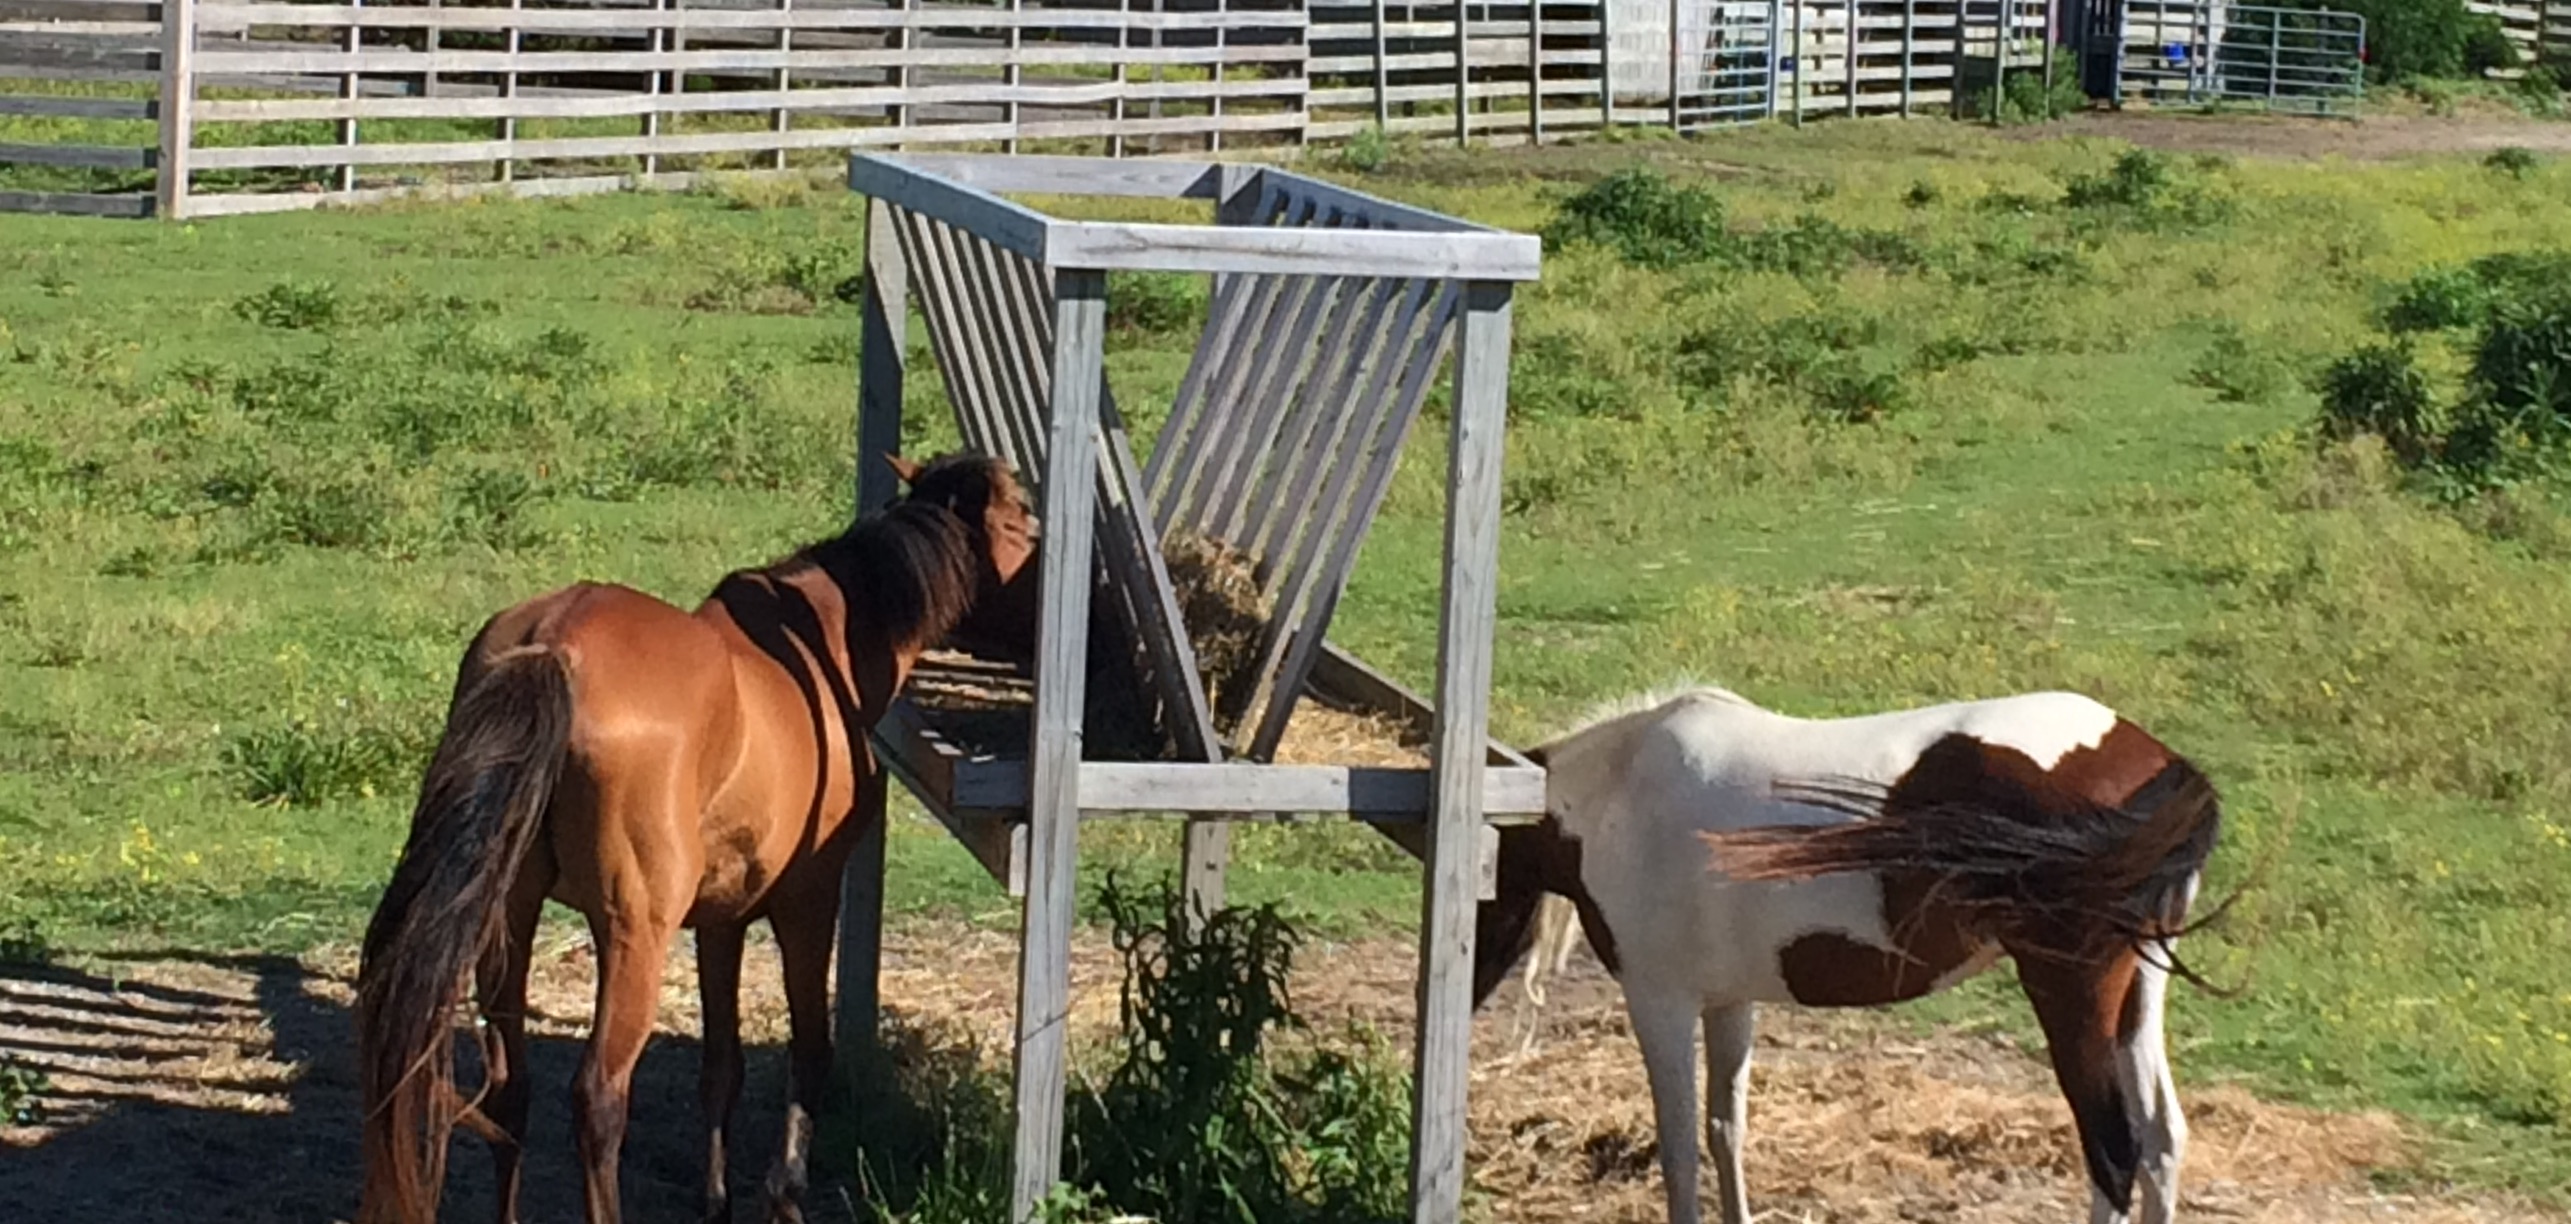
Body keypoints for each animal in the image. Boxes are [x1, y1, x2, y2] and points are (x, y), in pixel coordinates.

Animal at [357, 452, 1038, 1224]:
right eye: (1023, 519)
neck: (818, 657)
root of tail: (557, 642)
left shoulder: (721, 919)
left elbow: (722, 1066)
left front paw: (717, 1200)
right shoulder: (807, 902)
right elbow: (809, 1051)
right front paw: (784, 1193)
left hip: (510, 915)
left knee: (511, 1090)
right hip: (633, 934)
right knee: (598, 1099)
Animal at [1480, 684, 2221, 1224]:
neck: (1623, 793)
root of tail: (2165, 769)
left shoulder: (1660, 1001)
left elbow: (1681, 1149)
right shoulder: (1727, 1000)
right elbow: (1725, 1129)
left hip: (2071, 992)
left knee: (2114, 1152)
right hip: (2136, 994)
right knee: (2162, 1143)